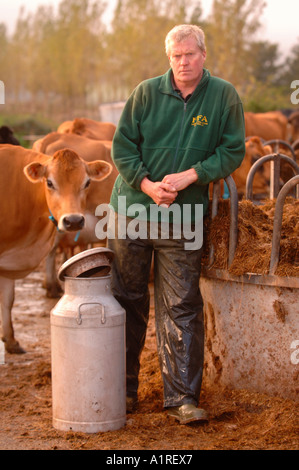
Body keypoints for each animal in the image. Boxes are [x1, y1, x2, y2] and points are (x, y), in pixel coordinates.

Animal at [0, 144, 112, 352]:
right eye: (50, 183)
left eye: (87, 182)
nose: (73, 221)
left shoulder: (10, 259)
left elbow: (8, 299)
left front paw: (10, 340)